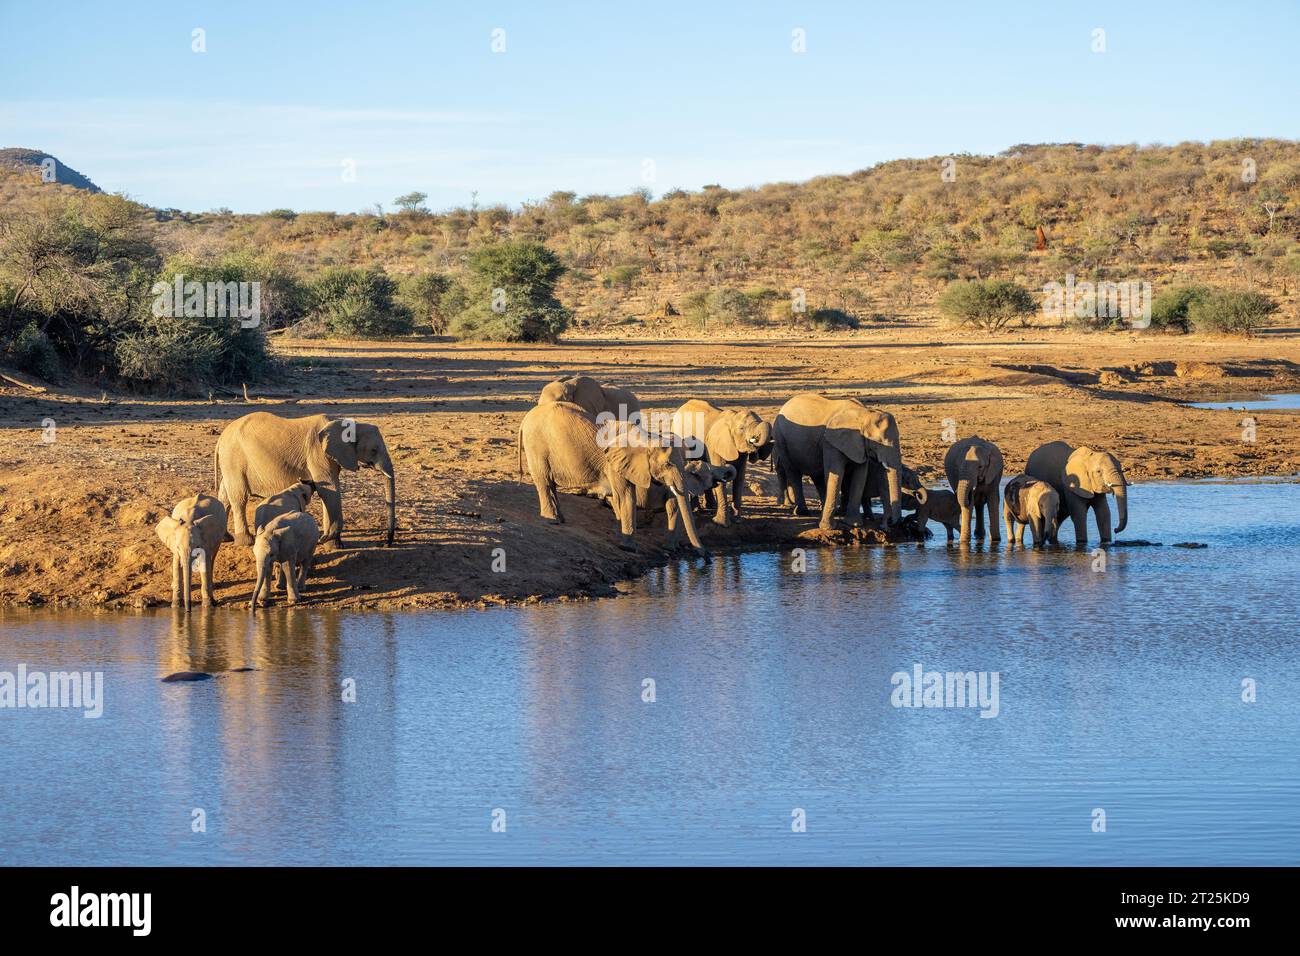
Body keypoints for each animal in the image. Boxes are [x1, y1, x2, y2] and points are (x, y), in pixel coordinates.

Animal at [215, 413, 395, 554]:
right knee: (239, 498)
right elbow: (329, 491)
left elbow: (328, 492)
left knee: (225, 495)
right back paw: (246, 541)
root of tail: (221, 438)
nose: (384, 543)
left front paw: (332, 544)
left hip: (230, 461)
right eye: (374, 450)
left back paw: (226, 537)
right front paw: (334, 544)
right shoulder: (318, 453)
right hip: (234, 459)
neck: (346, 423)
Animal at [514, 400, 707, 554]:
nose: (702, 554)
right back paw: (553, 521)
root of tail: (525, 419)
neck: (647, 438)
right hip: (536, 445)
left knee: (550, 484)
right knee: (544, 481)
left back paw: (560, 519)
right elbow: (625, 496)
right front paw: (628, 547)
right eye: (667, 465)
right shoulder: (613, 464)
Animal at [670, 400, 769, 528]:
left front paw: (737, 520)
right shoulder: (713, 446)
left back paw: (710, 506)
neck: (733, 418)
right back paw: (697, 509)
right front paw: (721, 523)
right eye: (741, 428)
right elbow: (722, 477)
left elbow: (740, 477)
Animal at [769, 395, 904, 535]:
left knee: (817, 476)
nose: (890, 525)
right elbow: (836, 473)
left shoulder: (859, 446)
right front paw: (827, 527)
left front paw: (853, 523)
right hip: (781, 440)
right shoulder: (830, 442)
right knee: (793, 472)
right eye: (878, 442)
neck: (864, 414)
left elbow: (860, 476)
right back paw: (802, 512)